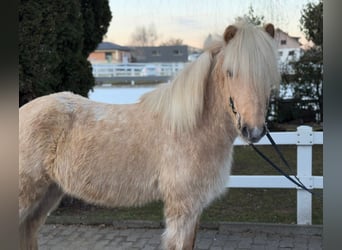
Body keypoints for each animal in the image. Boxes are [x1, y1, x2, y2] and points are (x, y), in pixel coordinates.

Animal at [18, 20, 280, 250]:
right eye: (230, 72)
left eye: (269, 75)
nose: (253, 130)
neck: (191, 128)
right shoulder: (182, 208)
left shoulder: (195, 208)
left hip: (48, 193)